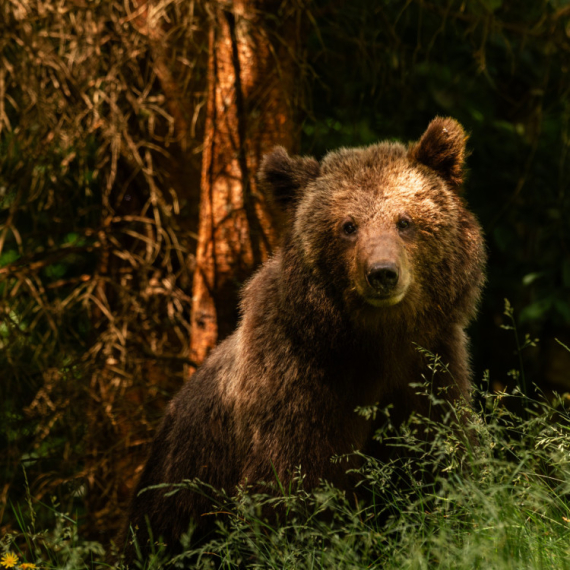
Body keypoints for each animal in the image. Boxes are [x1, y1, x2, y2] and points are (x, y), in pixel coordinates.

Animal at [123, 117, 484, 560]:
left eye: (405, 220)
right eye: (348, 226)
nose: (382, 273)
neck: (376, 342)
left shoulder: (430, 367)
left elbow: (437, 462)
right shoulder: (297, 383)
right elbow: (293, 491)